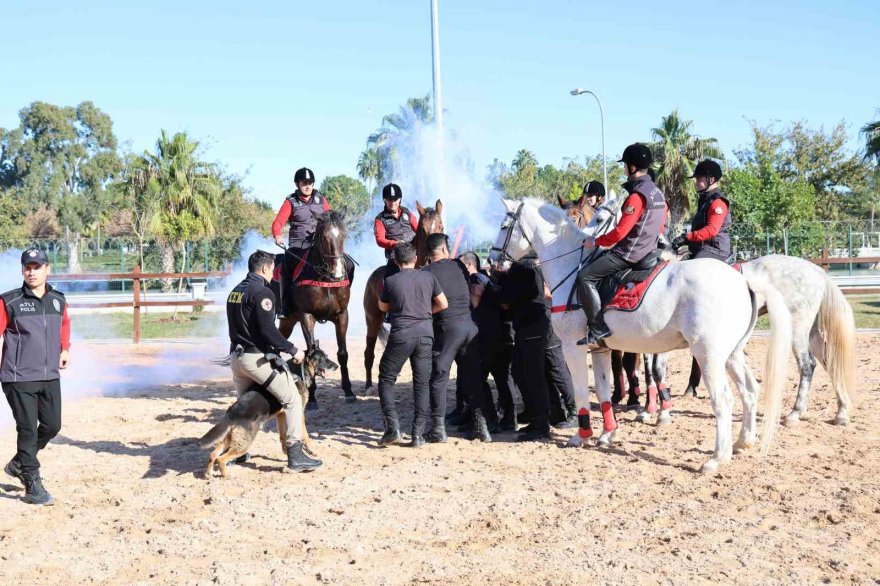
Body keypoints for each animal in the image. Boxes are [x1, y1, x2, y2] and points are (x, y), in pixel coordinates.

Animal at [199, 346, 336, 474]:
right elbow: (305, 435)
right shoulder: (299, 412)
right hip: (244, 442)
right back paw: (226, 476)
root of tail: (232, 413)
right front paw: (310, 450)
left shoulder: (281, 415)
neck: (300, 369)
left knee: (213, 454)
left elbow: (283, 436)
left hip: (231, 440)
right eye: (324, 358)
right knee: (221, 459)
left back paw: (208, 474)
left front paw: (287, 454)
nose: (337, 366)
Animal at [278, 210, 354, 406]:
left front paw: (349, 391)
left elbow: (343, 354)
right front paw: (312, 396)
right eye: (324, 237)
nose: (338, 273)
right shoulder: (307, 316)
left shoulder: (342, 315)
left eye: (344, 235)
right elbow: (309, 350)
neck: (326, 279)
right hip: (288, 320)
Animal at [362, 200, 446, 388]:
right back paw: (368, 385)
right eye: (423, 229)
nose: (433, 257)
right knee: (369, 352)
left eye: (441, 227)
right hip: (372, 320)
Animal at [488, 198, 792, 472]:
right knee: (749, 391)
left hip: (709, 355)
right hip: (732, 354)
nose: (492, 261)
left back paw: (716, 458)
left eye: (503, 226)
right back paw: (742, 443)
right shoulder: (600, 349)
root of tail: (742, 280)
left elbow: (582, 390)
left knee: (724, 400)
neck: (573, 270)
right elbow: (603, 390)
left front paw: (581, 435)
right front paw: (607, 434)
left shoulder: (572, 347)